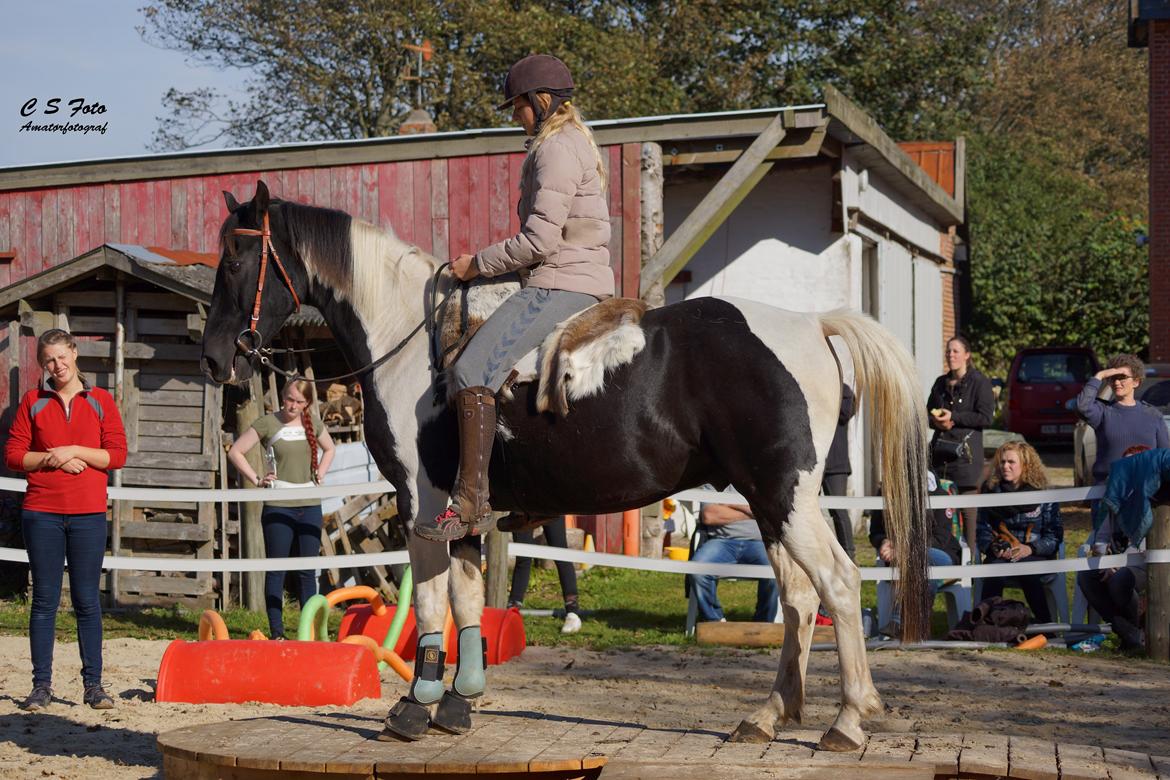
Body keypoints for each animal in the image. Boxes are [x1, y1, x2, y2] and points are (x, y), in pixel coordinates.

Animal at [203, 181, 931, 748]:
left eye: (237, 256)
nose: (213, 358)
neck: (410, 342)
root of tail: (811, 325)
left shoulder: (421, 504)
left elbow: (434, 602)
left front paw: (415, 706)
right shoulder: (463, 514)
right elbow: (467, 596)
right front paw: (459, 700)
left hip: (786, 497)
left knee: (838, 583)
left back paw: (848, 721)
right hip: (771, 500)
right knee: (803, 598)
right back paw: (769, 715)